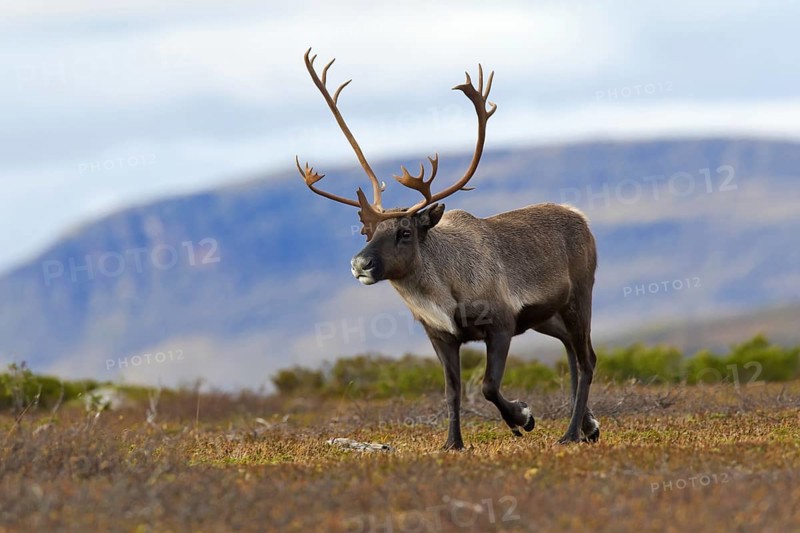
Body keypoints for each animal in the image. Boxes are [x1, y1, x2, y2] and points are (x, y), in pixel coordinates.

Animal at [295, 48, 600, 449]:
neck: (444, 293)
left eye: (405, 231)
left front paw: (523, 416)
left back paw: (571, 433)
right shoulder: (440, 336)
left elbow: (488, 386)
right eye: (365, 229)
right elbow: (452, 391)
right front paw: (453, 443)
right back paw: (588, 426)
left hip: (579, 296)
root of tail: (580, 217)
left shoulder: (501, 323)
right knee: (571, 351)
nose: (360, 264)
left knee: (586, 359)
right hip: (546, 315)